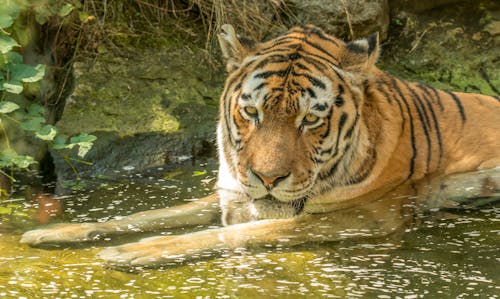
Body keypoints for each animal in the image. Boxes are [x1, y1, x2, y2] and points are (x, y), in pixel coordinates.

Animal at [21, 22, 498, 268]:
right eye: (251, 113)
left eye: (311, 119)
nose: (268, 179)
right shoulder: (229, 193)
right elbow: (144, 215)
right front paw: (53, 231)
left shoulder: (360, 216)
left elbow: (229, 233)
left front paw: (127, 252)